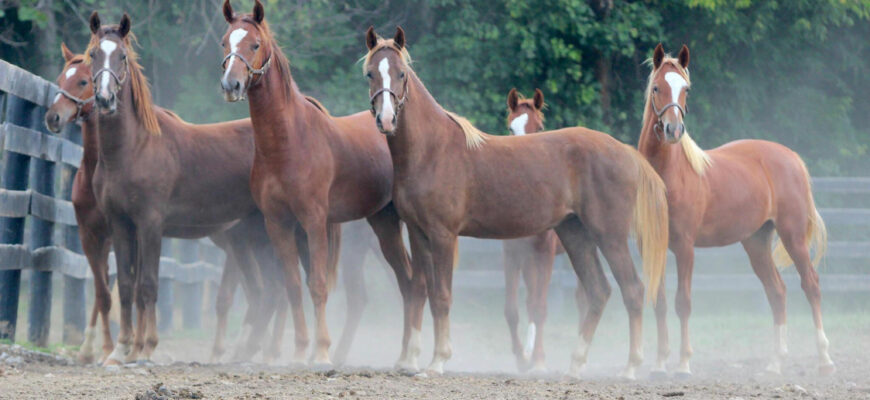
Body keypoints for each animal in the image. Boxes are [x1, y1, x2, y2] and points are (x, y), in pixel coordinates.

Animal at [220, 0, 420, 368]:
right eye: (225, 42)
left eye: (255, 44)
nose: (231, 85)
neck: (287, 142)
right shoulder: (279, 224)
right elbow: (292, 286)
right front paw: (301, 350)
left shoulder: (314, 222)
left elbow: (318, 284)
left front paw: (322, 351)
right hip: (383, 223)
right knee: (407, 280)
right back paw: (404, 355)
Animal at [364, 27, 672, 378]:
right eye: (370, 73)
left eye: (401, 73)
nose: (386, 120)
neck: (432, 151)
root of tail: (627, 153)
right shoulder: (418, 233)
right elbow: (419, 291)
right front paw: (410, 359)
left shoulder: (443, 235)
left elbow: (441, 296)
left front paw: (438, 360)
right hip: (576, 234)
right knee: (599, 291)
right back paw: (575, 365)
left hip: (610, 236)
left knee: (632, 290)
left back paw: (631, 367)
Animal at [640, 43, 836, 378]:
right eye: (656, 87)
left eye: (686, 89)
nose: (673, 130)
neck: (669, 175)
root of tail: (791, 157)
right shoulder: (655, 246)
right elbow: (660, 301)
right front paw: (660, 364)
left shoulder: (685, 248)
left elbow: (683, 302)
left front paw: (684, 364)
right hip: (756, 243)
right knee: (777, 292)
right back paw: (775, 362)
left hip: (793, 236)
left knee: (811, 284)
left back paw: (824, 359)